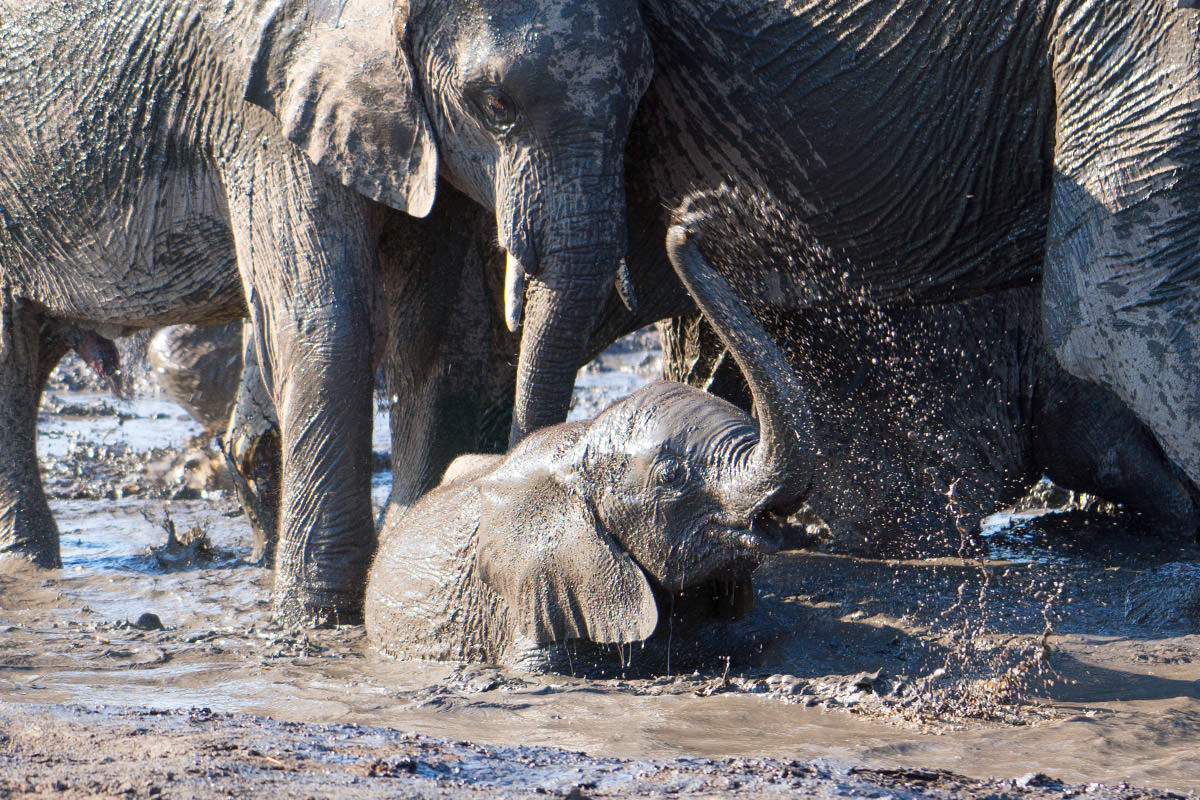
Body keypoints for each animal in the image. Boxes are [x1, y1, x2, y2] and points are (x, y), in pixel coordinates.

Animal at [0, 0, 652, 623]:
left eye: (638, 104)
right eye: (496, 104)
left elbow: (444, 335)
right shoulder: (264, 115)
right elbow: (329, 322)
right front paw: (318, 614)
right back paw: (28, 564)